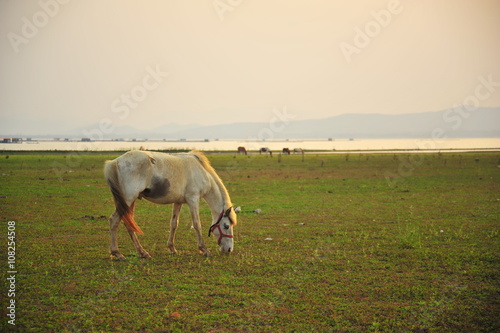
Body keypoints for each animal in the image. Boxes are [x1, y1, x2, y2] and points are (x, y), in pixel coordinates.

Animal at [102, 149, 237, 258]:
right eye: (226, 226)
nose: (229, 249)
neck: (201, 172)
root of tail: (115, 162)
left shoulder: (178, 202)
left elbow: (174, 224)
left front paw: (172, 248)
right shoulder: (193, 199)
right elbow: (197, 224)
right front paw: (204, 250)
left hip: (130, 201)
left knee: (128, 223)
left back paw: (142, 252)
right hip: (128, 199)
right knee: (114, 220)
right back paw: (117, 253)